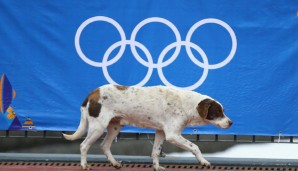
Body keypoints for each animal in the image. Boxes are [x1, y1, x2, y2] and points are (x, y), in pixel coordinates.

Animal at [63, 85, 233, 170]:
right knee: (84, 145)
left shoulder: (160, 132)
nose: (231, 122)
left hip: (114, 127)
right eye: (218, 112)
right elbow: (195, 147)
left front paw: (157, 167)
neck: (187, 104)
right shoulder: (172, 135)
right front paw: (203, 161)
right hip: (98, 127)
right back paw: (84, 165)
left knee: (104, 146)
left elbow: (155, 152)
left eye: (223, 111)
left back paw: (115, 163)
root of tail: (92, 94)